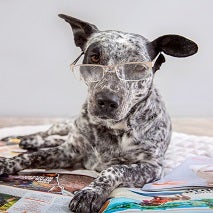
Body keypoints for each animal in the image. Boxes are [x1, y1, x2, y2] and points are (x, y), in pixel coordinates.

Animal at [0, 14, 198, 212]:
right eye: (94, 57)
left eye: (138, 66)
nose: (107, 101)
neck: (112, 129)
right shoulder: (68, 152)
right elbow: (33, 156)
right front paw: (7, 162)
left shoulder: (152, 167)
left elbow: (114, 169)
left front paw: (91, 191)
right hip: (65, 125)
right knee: (48, 133)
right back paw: (28, 139)